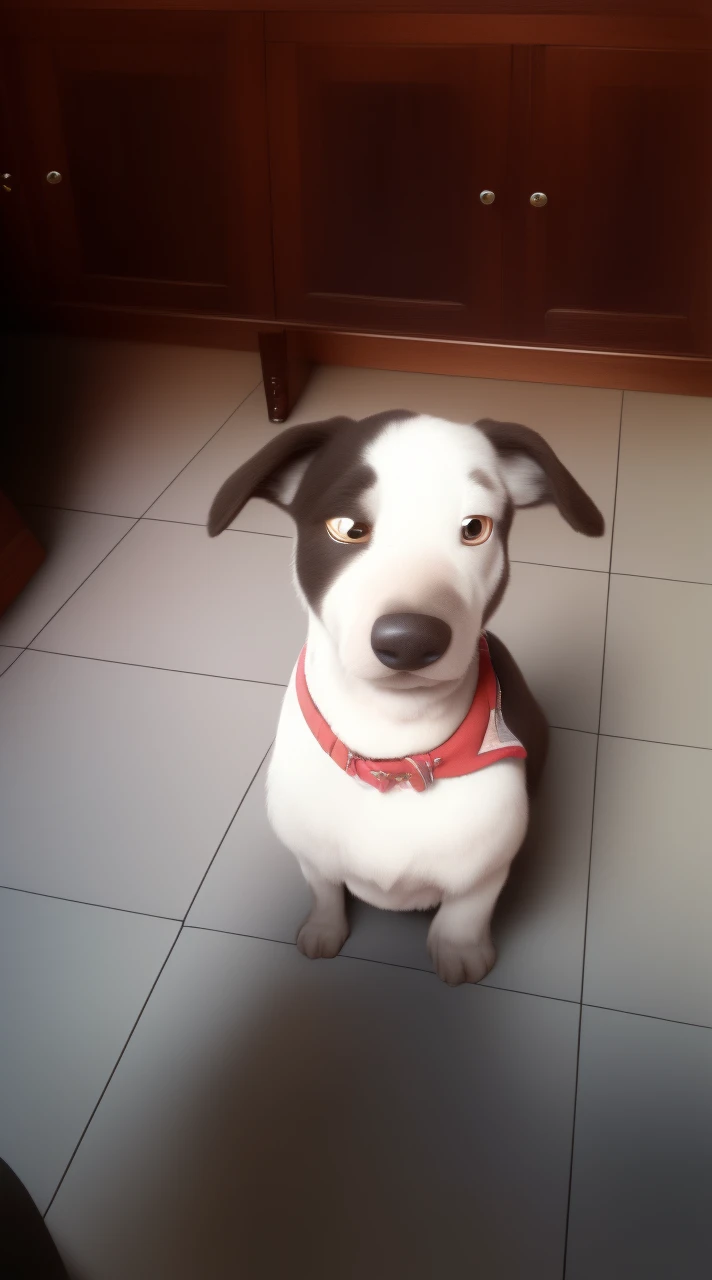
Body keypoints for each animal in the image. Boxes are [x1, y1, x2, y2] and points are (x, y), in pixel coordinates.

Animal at [208, 414, 604, 983]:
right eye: (347, 527)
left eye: (474, 527)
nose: (410, 639)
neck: (394, 750)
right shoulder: (311, 852)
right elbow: (324, 887)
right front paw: (323, 928)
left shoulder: (486, 866)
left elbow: (467, 907)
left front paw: (460, 951)